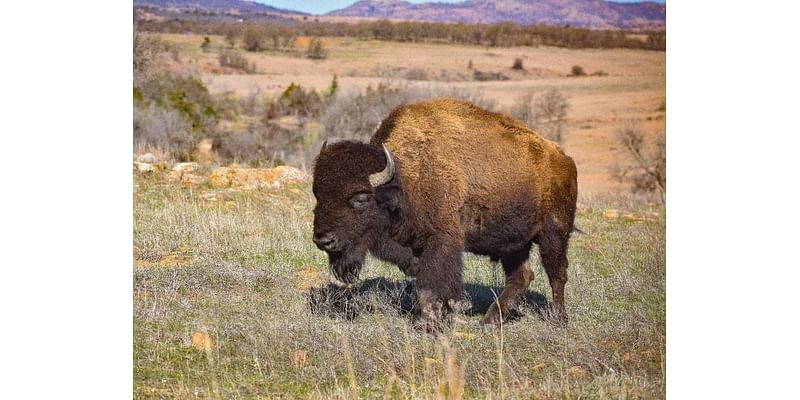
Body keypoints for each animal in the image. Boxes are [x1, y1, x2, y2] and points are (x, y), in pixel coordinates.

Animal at [310, 97, 580, 328]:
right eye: (317, 194)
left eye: (360, 198)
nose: (323, 240)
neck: (405, 176)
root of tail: (564, 159)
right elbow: (421, 281)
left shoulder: (441, 240)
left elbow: (431, 285)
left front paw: (429, 323)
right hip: (514, 243)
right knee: (521, 276)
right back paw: (489, 322)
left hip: (554, 232)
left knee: (557, 274)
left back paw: (559, 320)